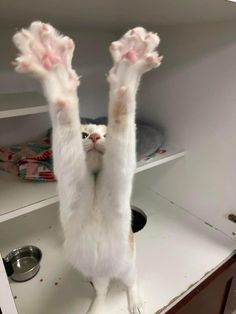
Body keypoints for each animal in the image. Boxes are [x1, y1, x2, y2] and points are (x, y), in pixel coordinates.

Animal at [13, 22, 162, 314]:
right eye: (84, 135)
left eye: (105, 136)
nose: (93, 137)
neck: (94, 198)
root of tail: (108, 272)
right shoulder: (73, 183)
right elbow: (64, 117)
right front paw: (53, 69)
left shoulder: (116, 183)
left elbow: (123, 113)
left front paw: (129, 66)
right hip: (98, 276)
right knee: (102, 291)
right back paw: (95, 307)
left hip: (127, 267)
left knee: (131, 282)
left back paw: (136, 302)